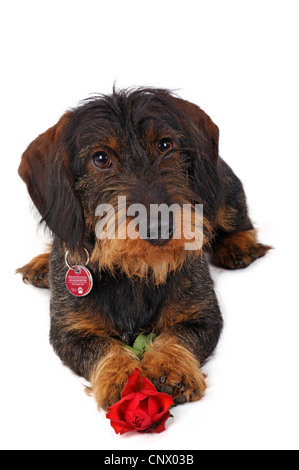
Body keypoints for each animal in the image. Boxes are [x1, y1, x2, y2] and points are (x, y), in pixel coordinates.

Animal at [16, 87, 272, 408]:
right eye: (101, 158)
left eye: (165, 145)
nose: (160, 227)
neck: (133, 270)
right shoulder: (70, 332)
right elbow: (102, 348)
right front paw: (123, 377)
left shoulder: (203, 317)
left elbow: (179, 336)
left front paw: (171, 366)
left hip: (221, 187)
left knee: (236, 216)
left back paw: (239, 245)